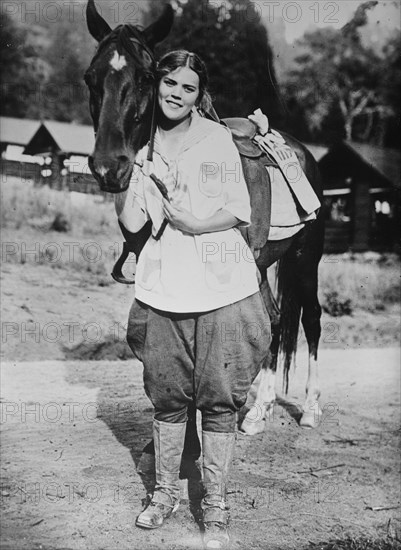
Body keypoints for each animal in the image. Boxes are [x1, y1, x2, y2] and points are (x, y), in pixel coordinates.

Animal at [84, 2, 324, 438]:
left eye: (146, 77)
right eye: (90, 77)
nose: (109, 167)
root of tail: (301, 151)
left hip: (305, 258)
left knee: (310, 320)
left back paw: (311, 408)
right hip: (263, 266)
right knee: (277, 321)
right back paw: (259, 410)